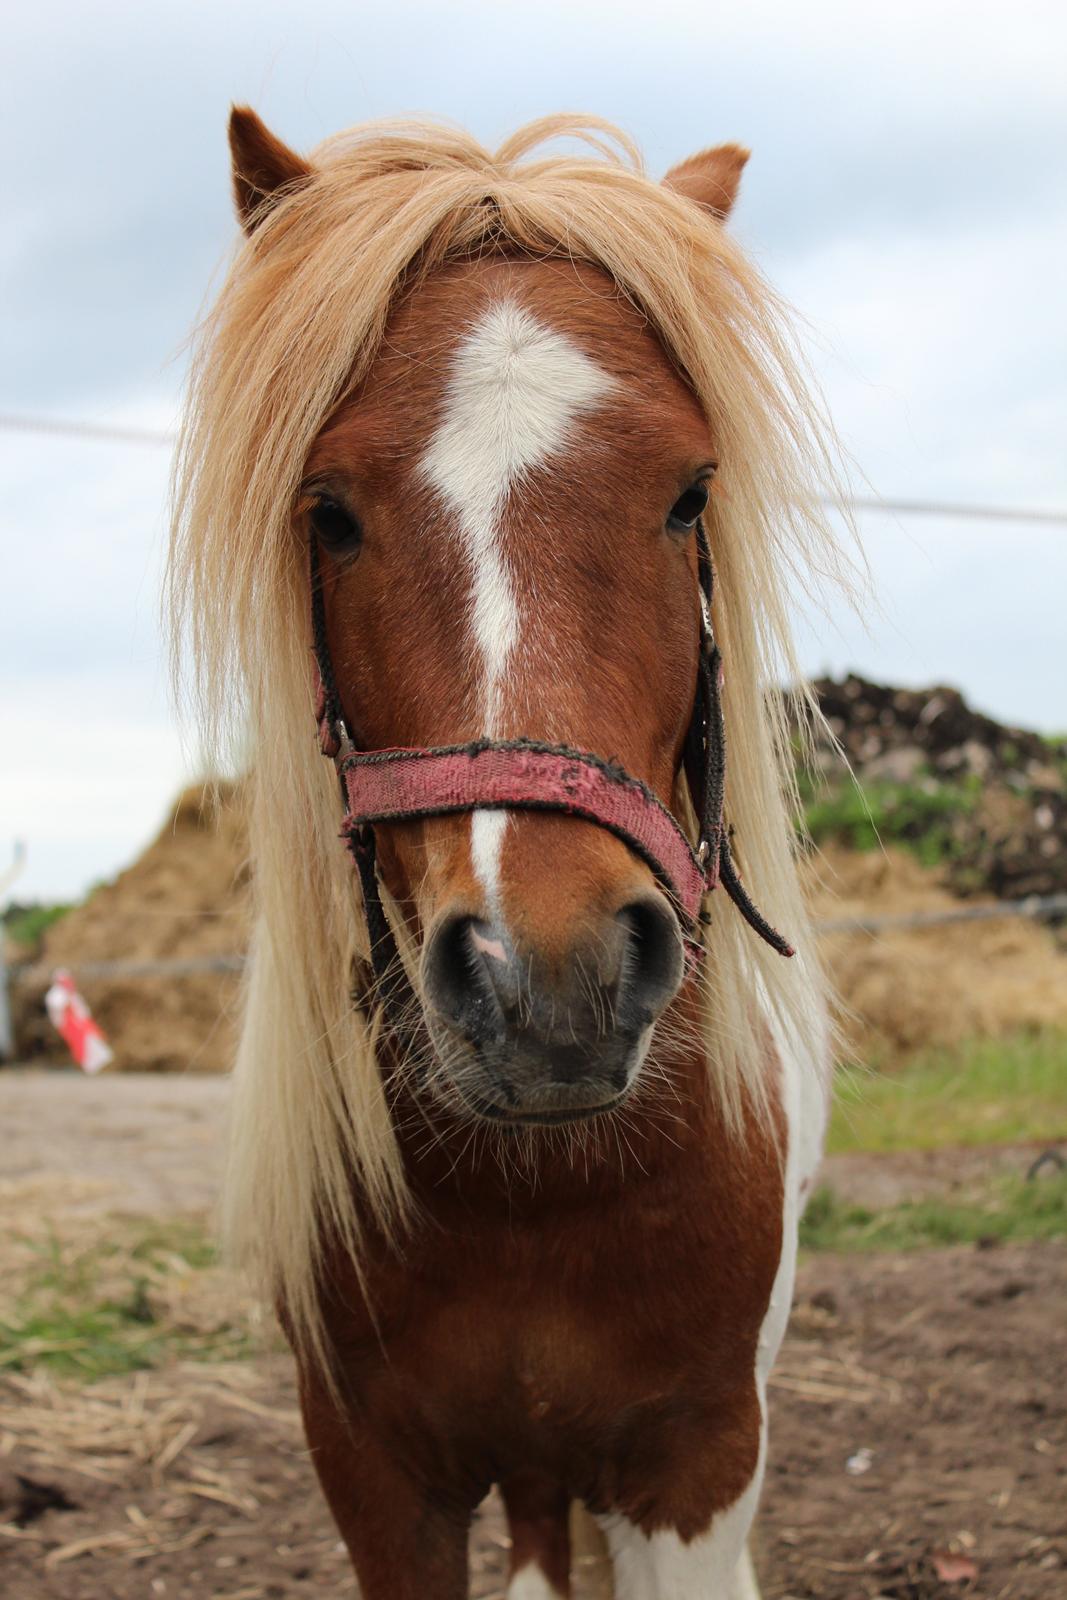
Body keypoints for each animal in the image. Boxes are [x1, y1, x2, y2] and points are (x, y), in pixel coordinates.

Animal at [171, 106, 857, 1593]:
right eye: (327, 511)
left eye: (689, 494)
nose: (549, 986)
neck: (533, 1200)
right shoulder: (374, 1478)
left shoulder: (692, 1465)